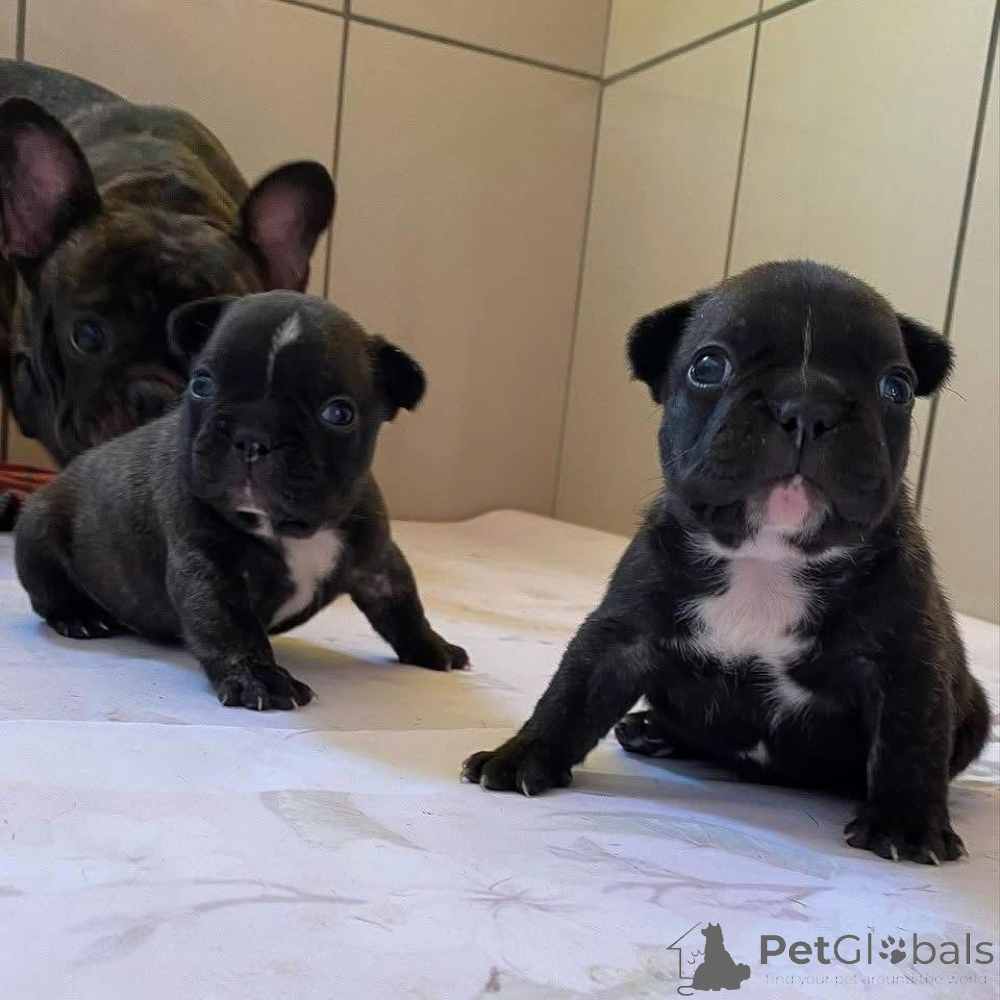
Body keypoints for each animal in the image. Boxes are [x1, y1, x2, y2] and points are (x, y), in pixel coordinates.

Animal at [15, 291, 468, 708]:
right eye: (201, 384)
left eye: (338, 414)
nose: (253, 436)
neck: (288, 529)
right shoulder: (208, 568)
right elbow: (230, 626)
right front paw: (259, 679)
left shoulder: (378, 560)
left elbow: (403, 605)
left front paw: (433, 647)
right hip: (38, 533)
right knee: (46, 593)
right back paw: (81, 616)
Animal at [463, 260, 989, 864]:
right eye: (708, 366)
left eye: (896, 388)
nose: (808, 406)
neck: (768, 557)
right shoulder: (623, 632)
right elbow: (572, 692)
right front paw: (525, 752)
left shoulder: (907, 660)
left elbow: (910, 737)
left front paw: (906, 821)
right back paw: (652, 730)